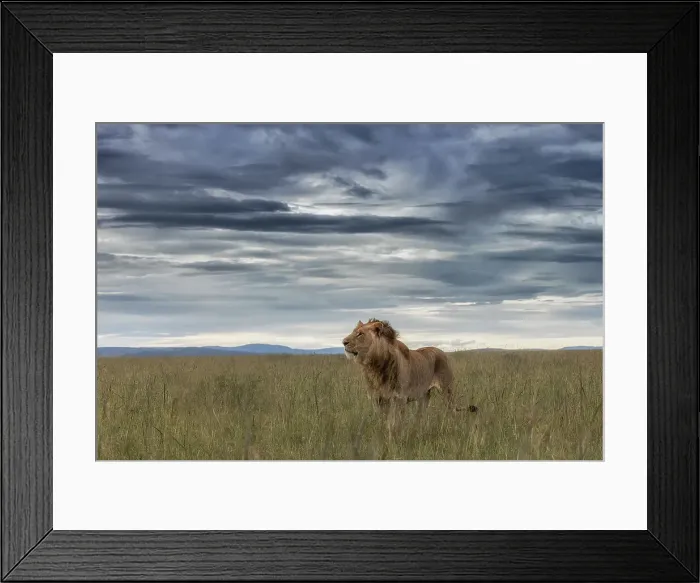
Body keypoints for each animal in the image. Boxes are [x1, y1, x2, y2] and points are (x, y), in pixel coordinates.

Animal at [342, 318, 478, 416]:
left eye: (360, 334)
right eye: (353, 332)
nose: (343, 342)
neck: (374, 367)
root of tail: (442, 352)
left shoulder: (399, 399)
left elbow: (394, 426)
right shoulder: (377, 400)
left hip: (446, 390)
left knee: (452, 412)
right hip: (423, 396)